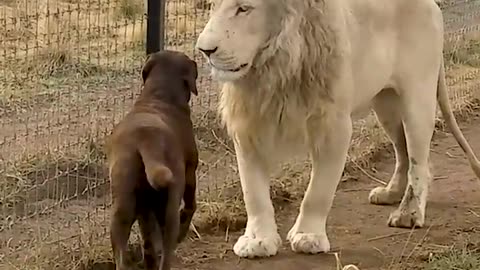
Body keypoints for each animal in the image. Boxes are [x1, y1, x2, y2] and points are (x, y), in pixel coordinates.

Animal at [106, 50, 199, 270]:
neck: (158, 96)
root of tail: (146, 139)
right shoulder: (191, 172)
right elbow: (191, 205)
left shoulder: (144, 210)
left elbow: (148, 239)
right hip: (169, 207)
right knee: (167, 251)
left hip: (122, 208)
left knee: (129, 253)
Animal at [194, 0, 480, 258]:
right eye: (212, 6)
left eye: (243, 9)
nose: (204, 50)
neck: (273, 70)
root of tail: (432, 4)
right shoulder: (249, 126)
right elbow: (253, 192)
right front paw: (257, 241)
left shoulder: (334, 126)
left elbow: (318, 191)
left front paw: (308, 236)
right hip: (385, 104)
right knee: (403, 153)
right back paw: (390, 193)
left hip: (417, 98)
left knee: (419, 161)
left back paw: (409, 213)